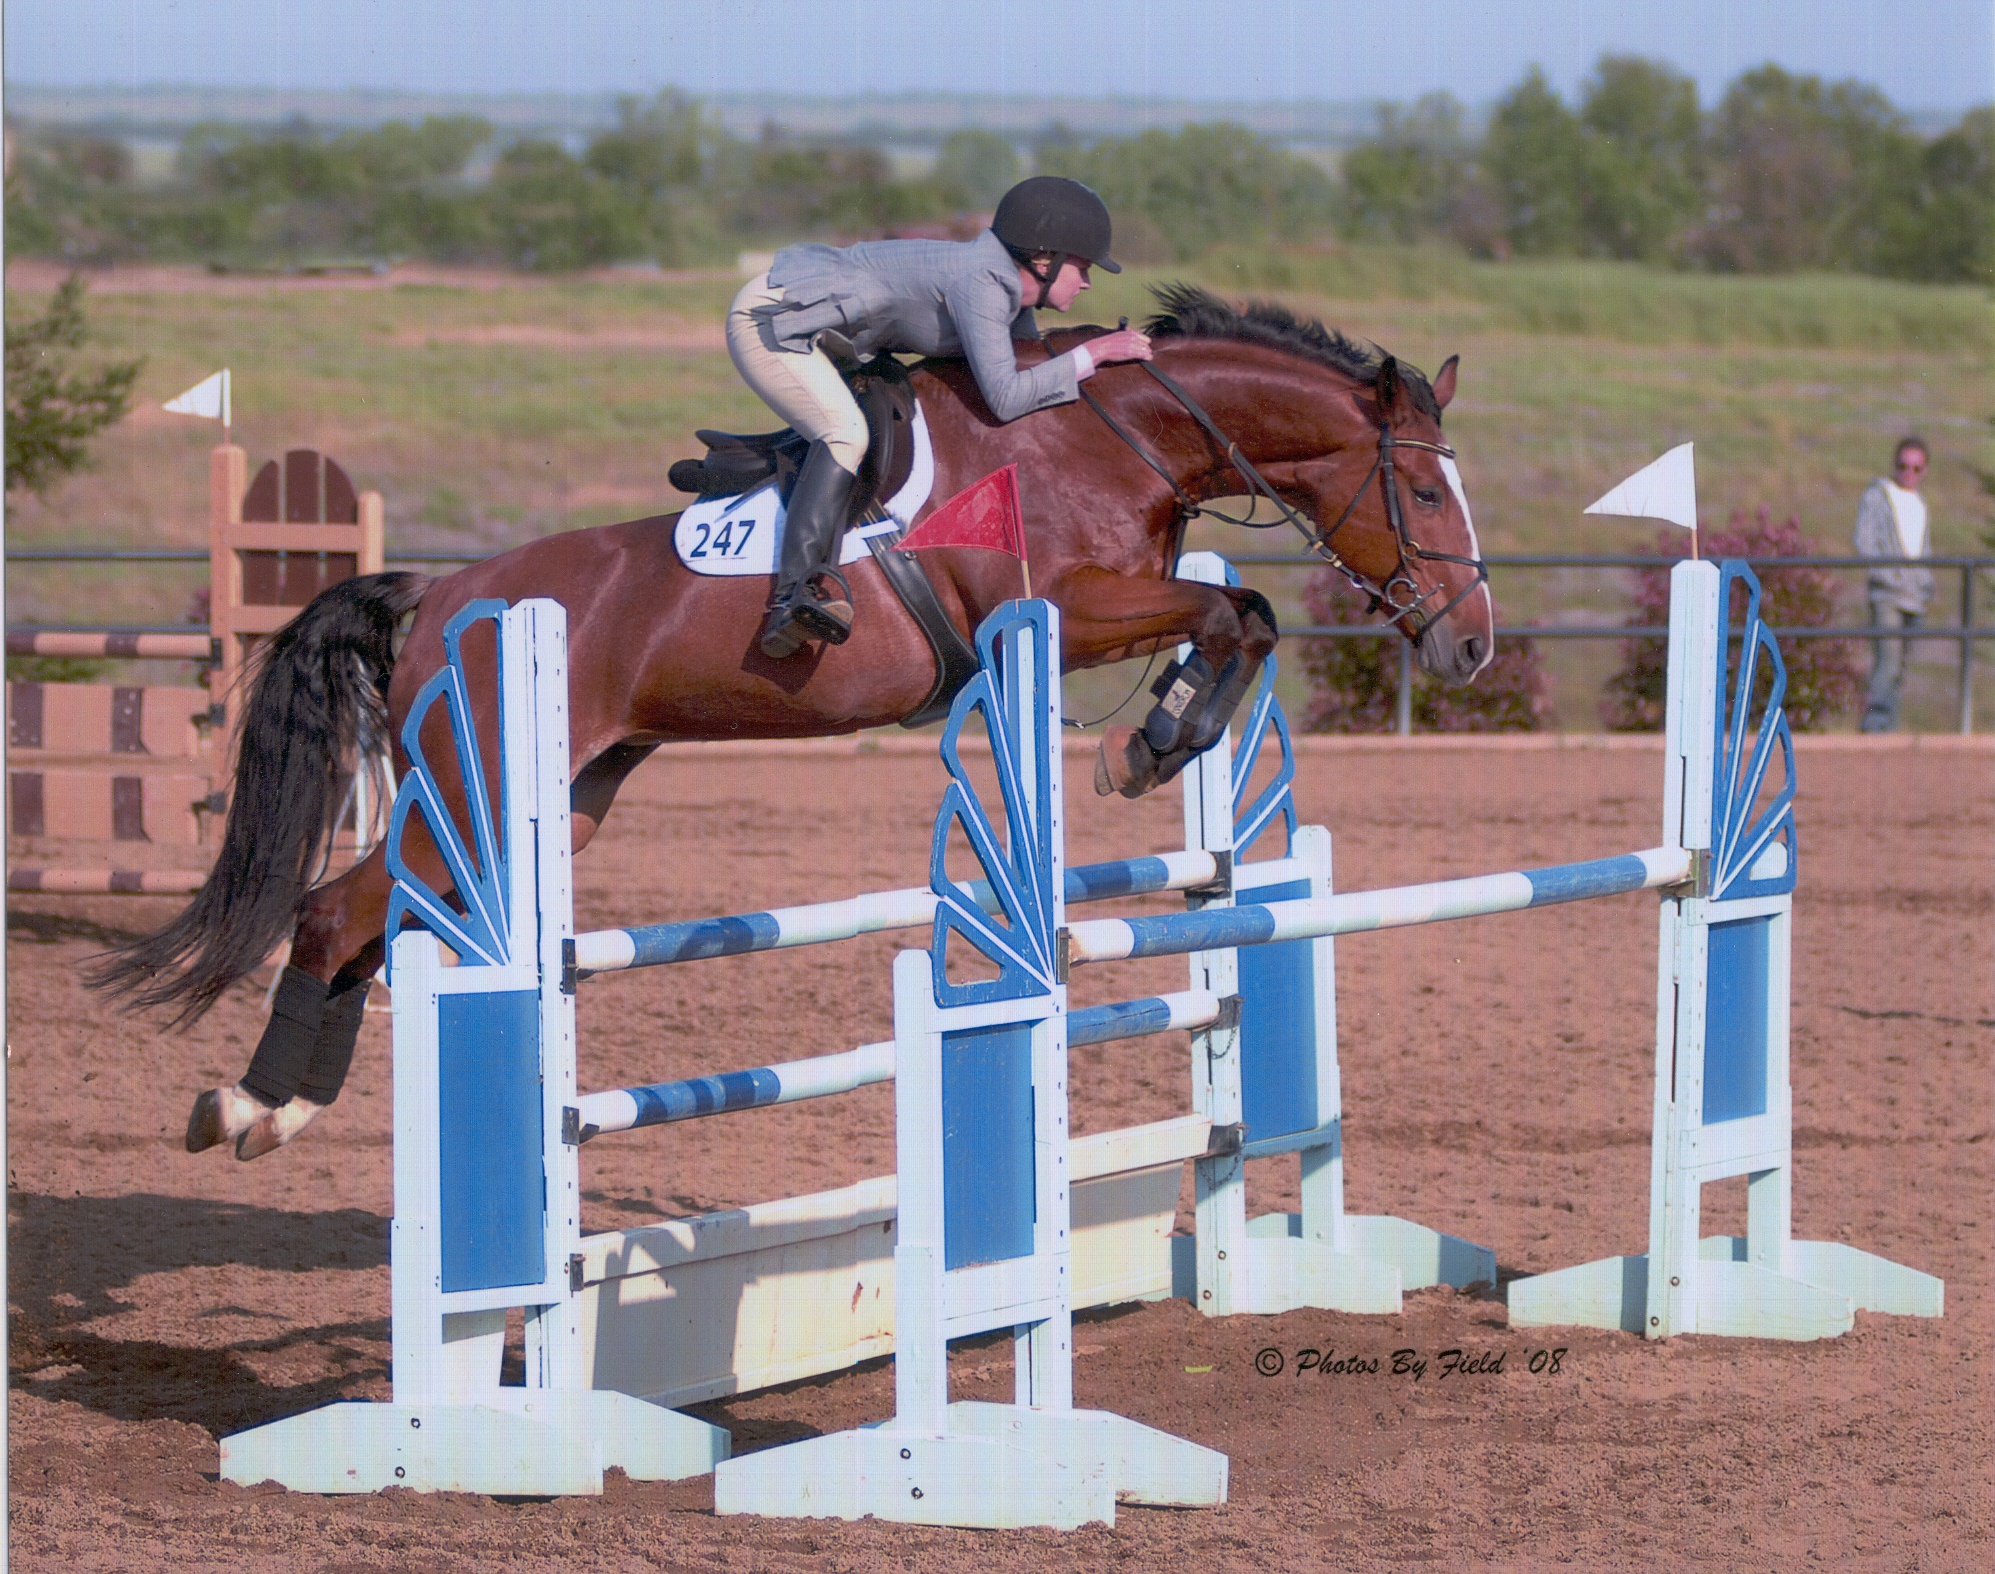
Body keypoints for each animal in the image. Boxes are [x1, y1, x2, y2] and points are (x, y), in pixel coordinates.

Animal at [92, 284, 1493, 1159]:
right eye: (1424, 489)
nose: (1472, 643)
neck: (1113, 437)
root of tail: (439, 593)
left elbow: (1239, 611)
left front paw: (1162, 737)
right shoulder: (1060, 606)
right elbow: (1236, 610)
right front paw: (1145, 746)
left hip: (558, 801)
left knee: (375, 921)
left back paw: (276, 1110)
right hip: (471, 791)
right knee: (334, 916)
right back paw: (248, 1110)